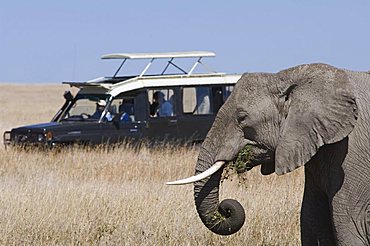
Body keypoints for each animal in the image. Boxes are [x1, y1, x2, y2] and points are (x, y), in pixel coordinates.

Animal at [168, 64, 370, 246]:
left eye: (242, 118)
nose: (225, 208)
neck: (289, 77)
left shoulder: (352, 154)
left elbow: (350, 227)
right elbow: (312, 222)